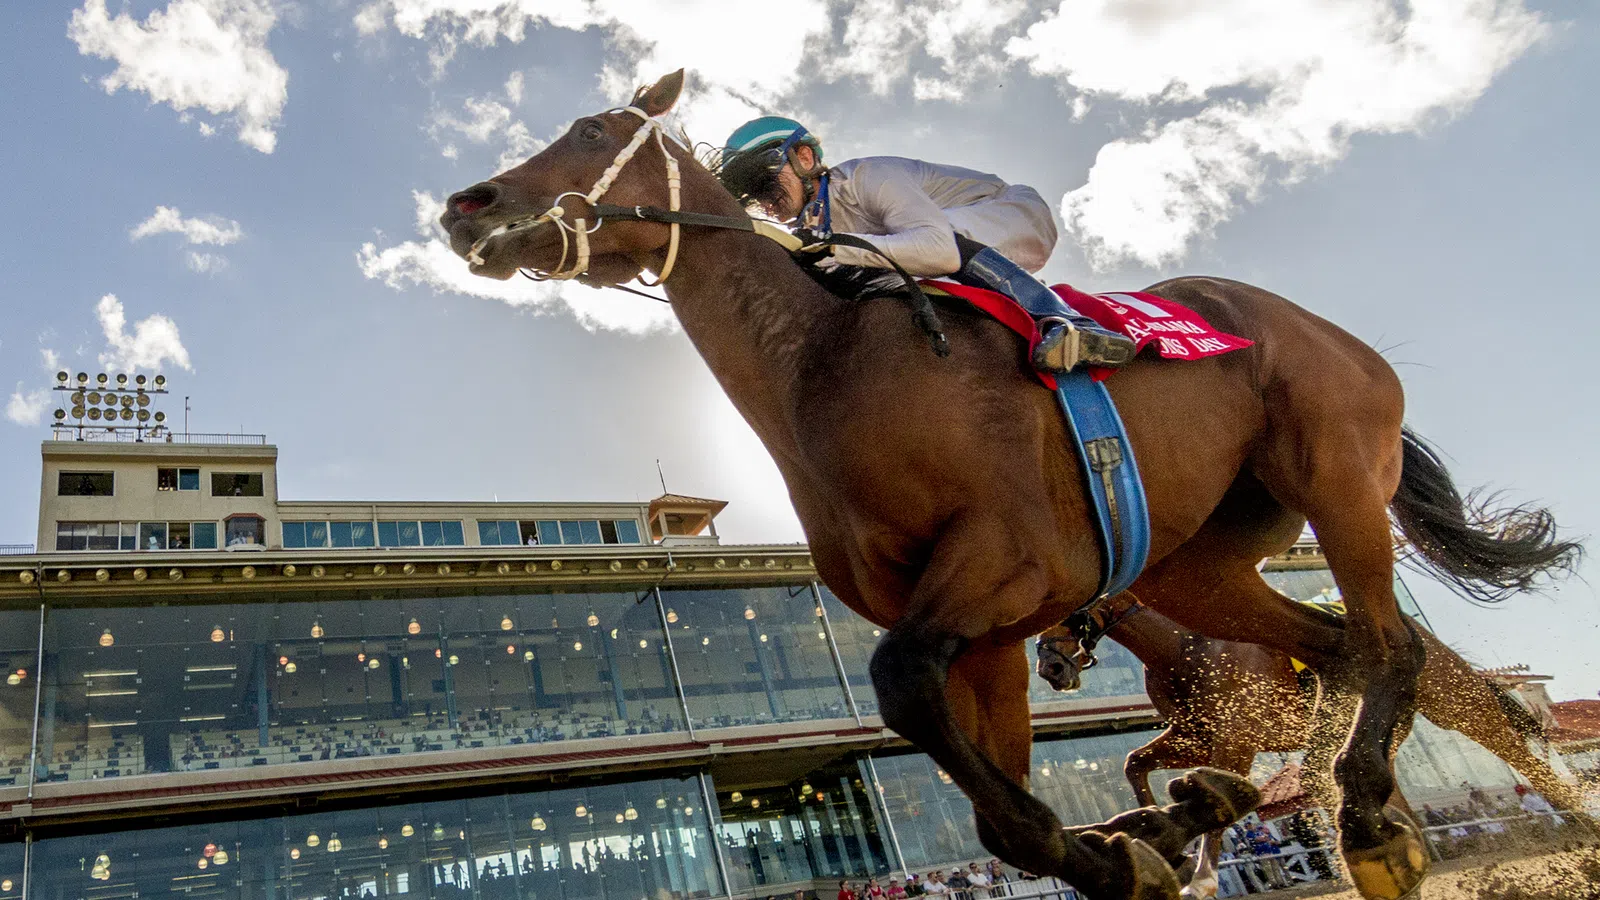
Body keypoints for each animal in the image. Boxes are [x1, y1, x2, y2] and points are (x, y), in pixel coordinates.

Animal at [1036, 598, 1587, 898]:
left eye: (1065, 605)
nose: (1049, 667)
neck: (1182, 646)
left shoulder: (1235, 739)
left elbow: (1218, 815)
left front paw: (1201, 876)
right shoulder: (1195, 736)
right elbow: (1134, 763)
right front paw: (1163, 847)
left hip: (1460, 704)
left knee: (1526, 760)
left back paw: (1584, 823)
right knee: (1369, 787)